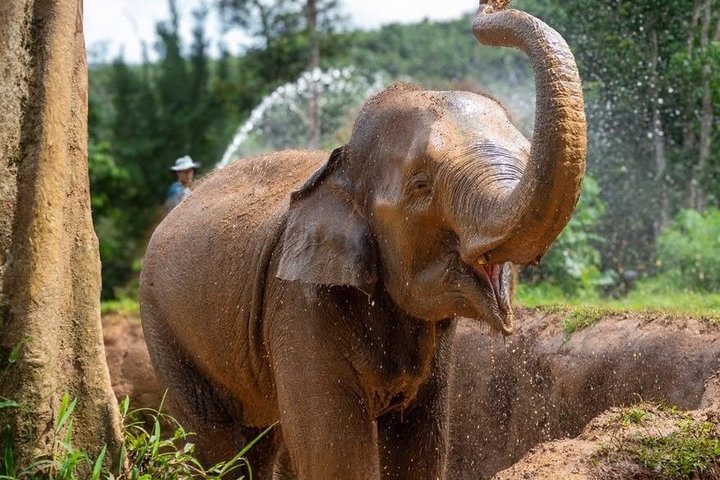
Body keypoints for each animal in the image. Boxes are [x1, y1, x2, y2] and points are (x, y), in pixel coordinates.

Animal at [139, 1, 586, 478]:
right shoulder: (299, 299)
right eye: (421, 186)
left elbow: (420, 447)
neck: (343, 166)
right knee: (218, 443)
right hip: (166, 328)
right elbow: (334, 454)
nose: (490, 5)